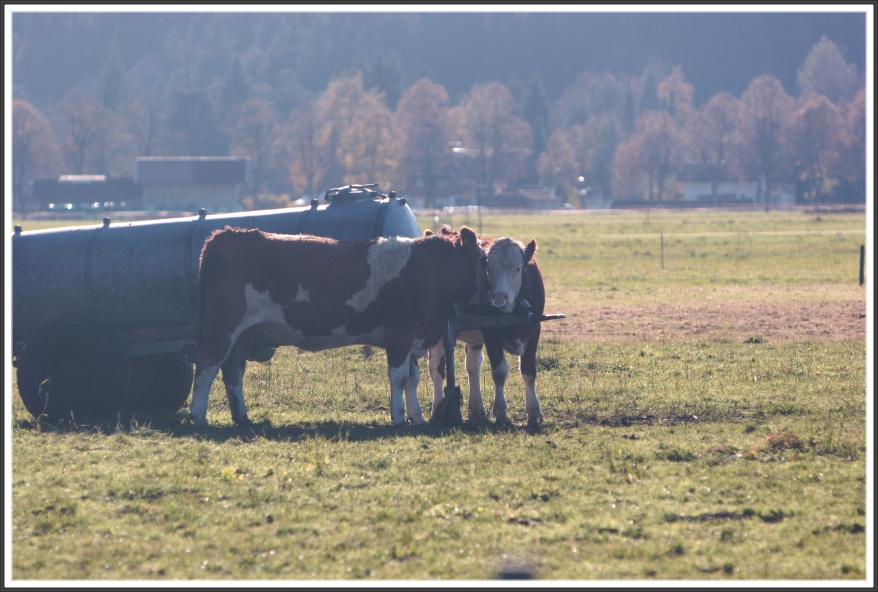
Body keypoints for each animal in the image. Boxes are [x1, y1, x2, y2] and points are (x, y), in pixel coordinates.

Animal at [189, 224, 488, 428]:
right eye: (485, 259)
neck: (427, 270)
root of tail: (227, 234)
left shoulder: (413, 339)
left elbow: (413, 379)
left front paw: (418, 417)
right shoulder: (400, 336)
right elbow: (400, 378)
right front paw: (399, 417)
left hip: (242, 337)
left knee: (233, 372)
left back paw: (242, 417)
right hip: (223, 328)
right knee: (206, 366)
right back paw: (198, 416)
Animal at [424, 227, 544, 426]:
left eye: (518, 268)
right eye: (488, 269)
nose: (499, 298)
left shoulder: (534, 331)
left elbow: (528, 370)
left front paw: (534, 411)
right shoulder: (491, 335)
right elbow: (500, 371)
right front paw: (500, 409)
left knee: (473, 366)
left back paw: (477, 408)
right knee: (436, 368)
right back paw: (437, 408)